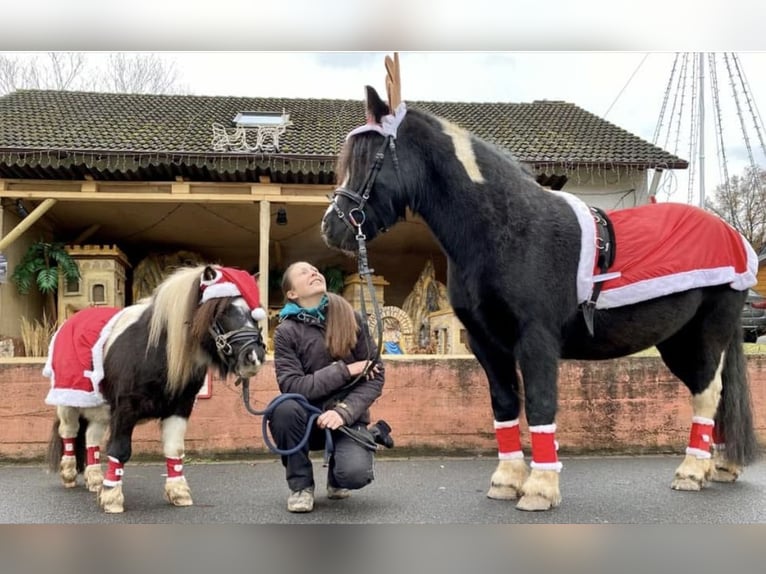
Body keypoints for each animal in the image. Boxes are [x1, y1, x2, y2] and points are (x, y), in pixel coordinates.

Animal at [45, 268, 268, 516]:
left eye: (254, 315)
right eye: (221, 311)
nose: (254, 357)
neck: (154, 351)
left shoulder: (180, 407)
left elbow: (174, 449)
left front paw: (178, 492)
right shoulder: (125, 408)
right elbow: (120, 450)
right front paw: (112, 497)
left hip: (98, 406)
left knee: (91, 436)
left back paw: (95, 480)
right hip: (69, 400)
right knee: (69, 432)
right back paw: (68, 473)